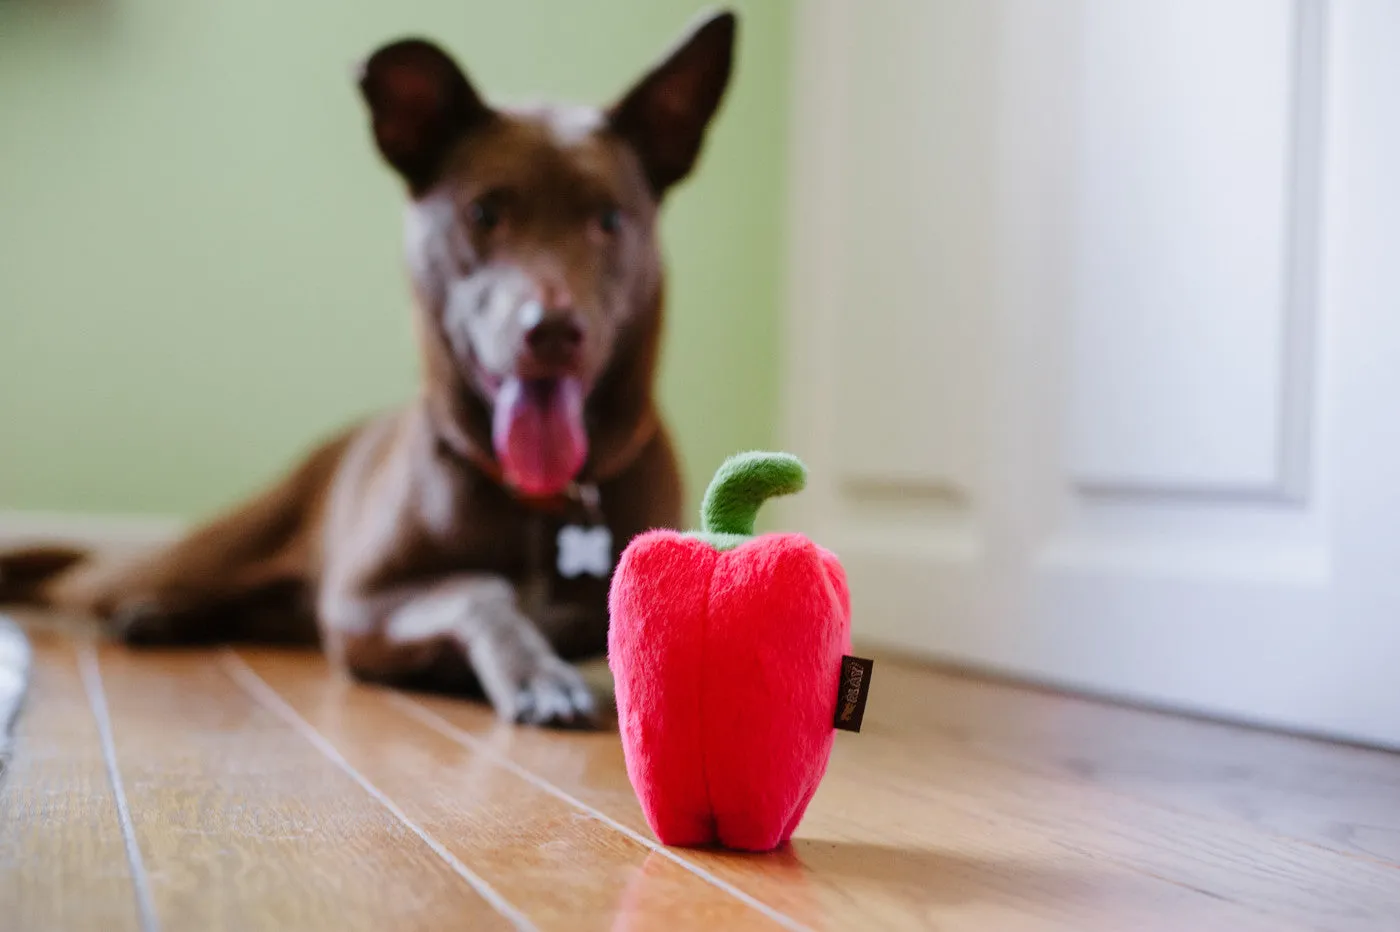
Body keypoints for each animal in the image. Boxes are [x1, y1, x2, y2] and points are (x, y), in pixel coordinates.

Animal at [0, 10, 739, 727]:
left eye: (609, 220)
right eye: (484, 213)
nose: (552, 331)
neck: (542, 500)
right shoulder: (358, 604)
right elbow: (480, 589)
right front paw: (536, 673)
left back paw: (163, 621)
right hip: (197, 554)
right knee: (77, 575)